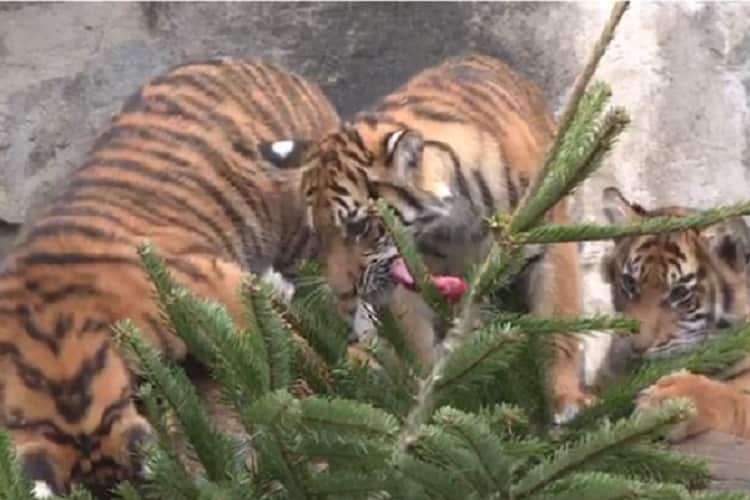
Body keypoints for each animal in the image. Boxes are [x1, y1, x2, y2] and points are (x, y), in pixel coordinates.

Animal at [266, 53, 592, 422]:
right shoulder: (411, 273)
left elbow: (559, 325)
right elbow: (417, 345)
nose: (340, 290)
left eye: (358, 227)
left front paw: (566, 401)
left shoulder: (548, 243)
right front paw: (427, 398)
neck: (456, 223)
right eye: (318, 233)